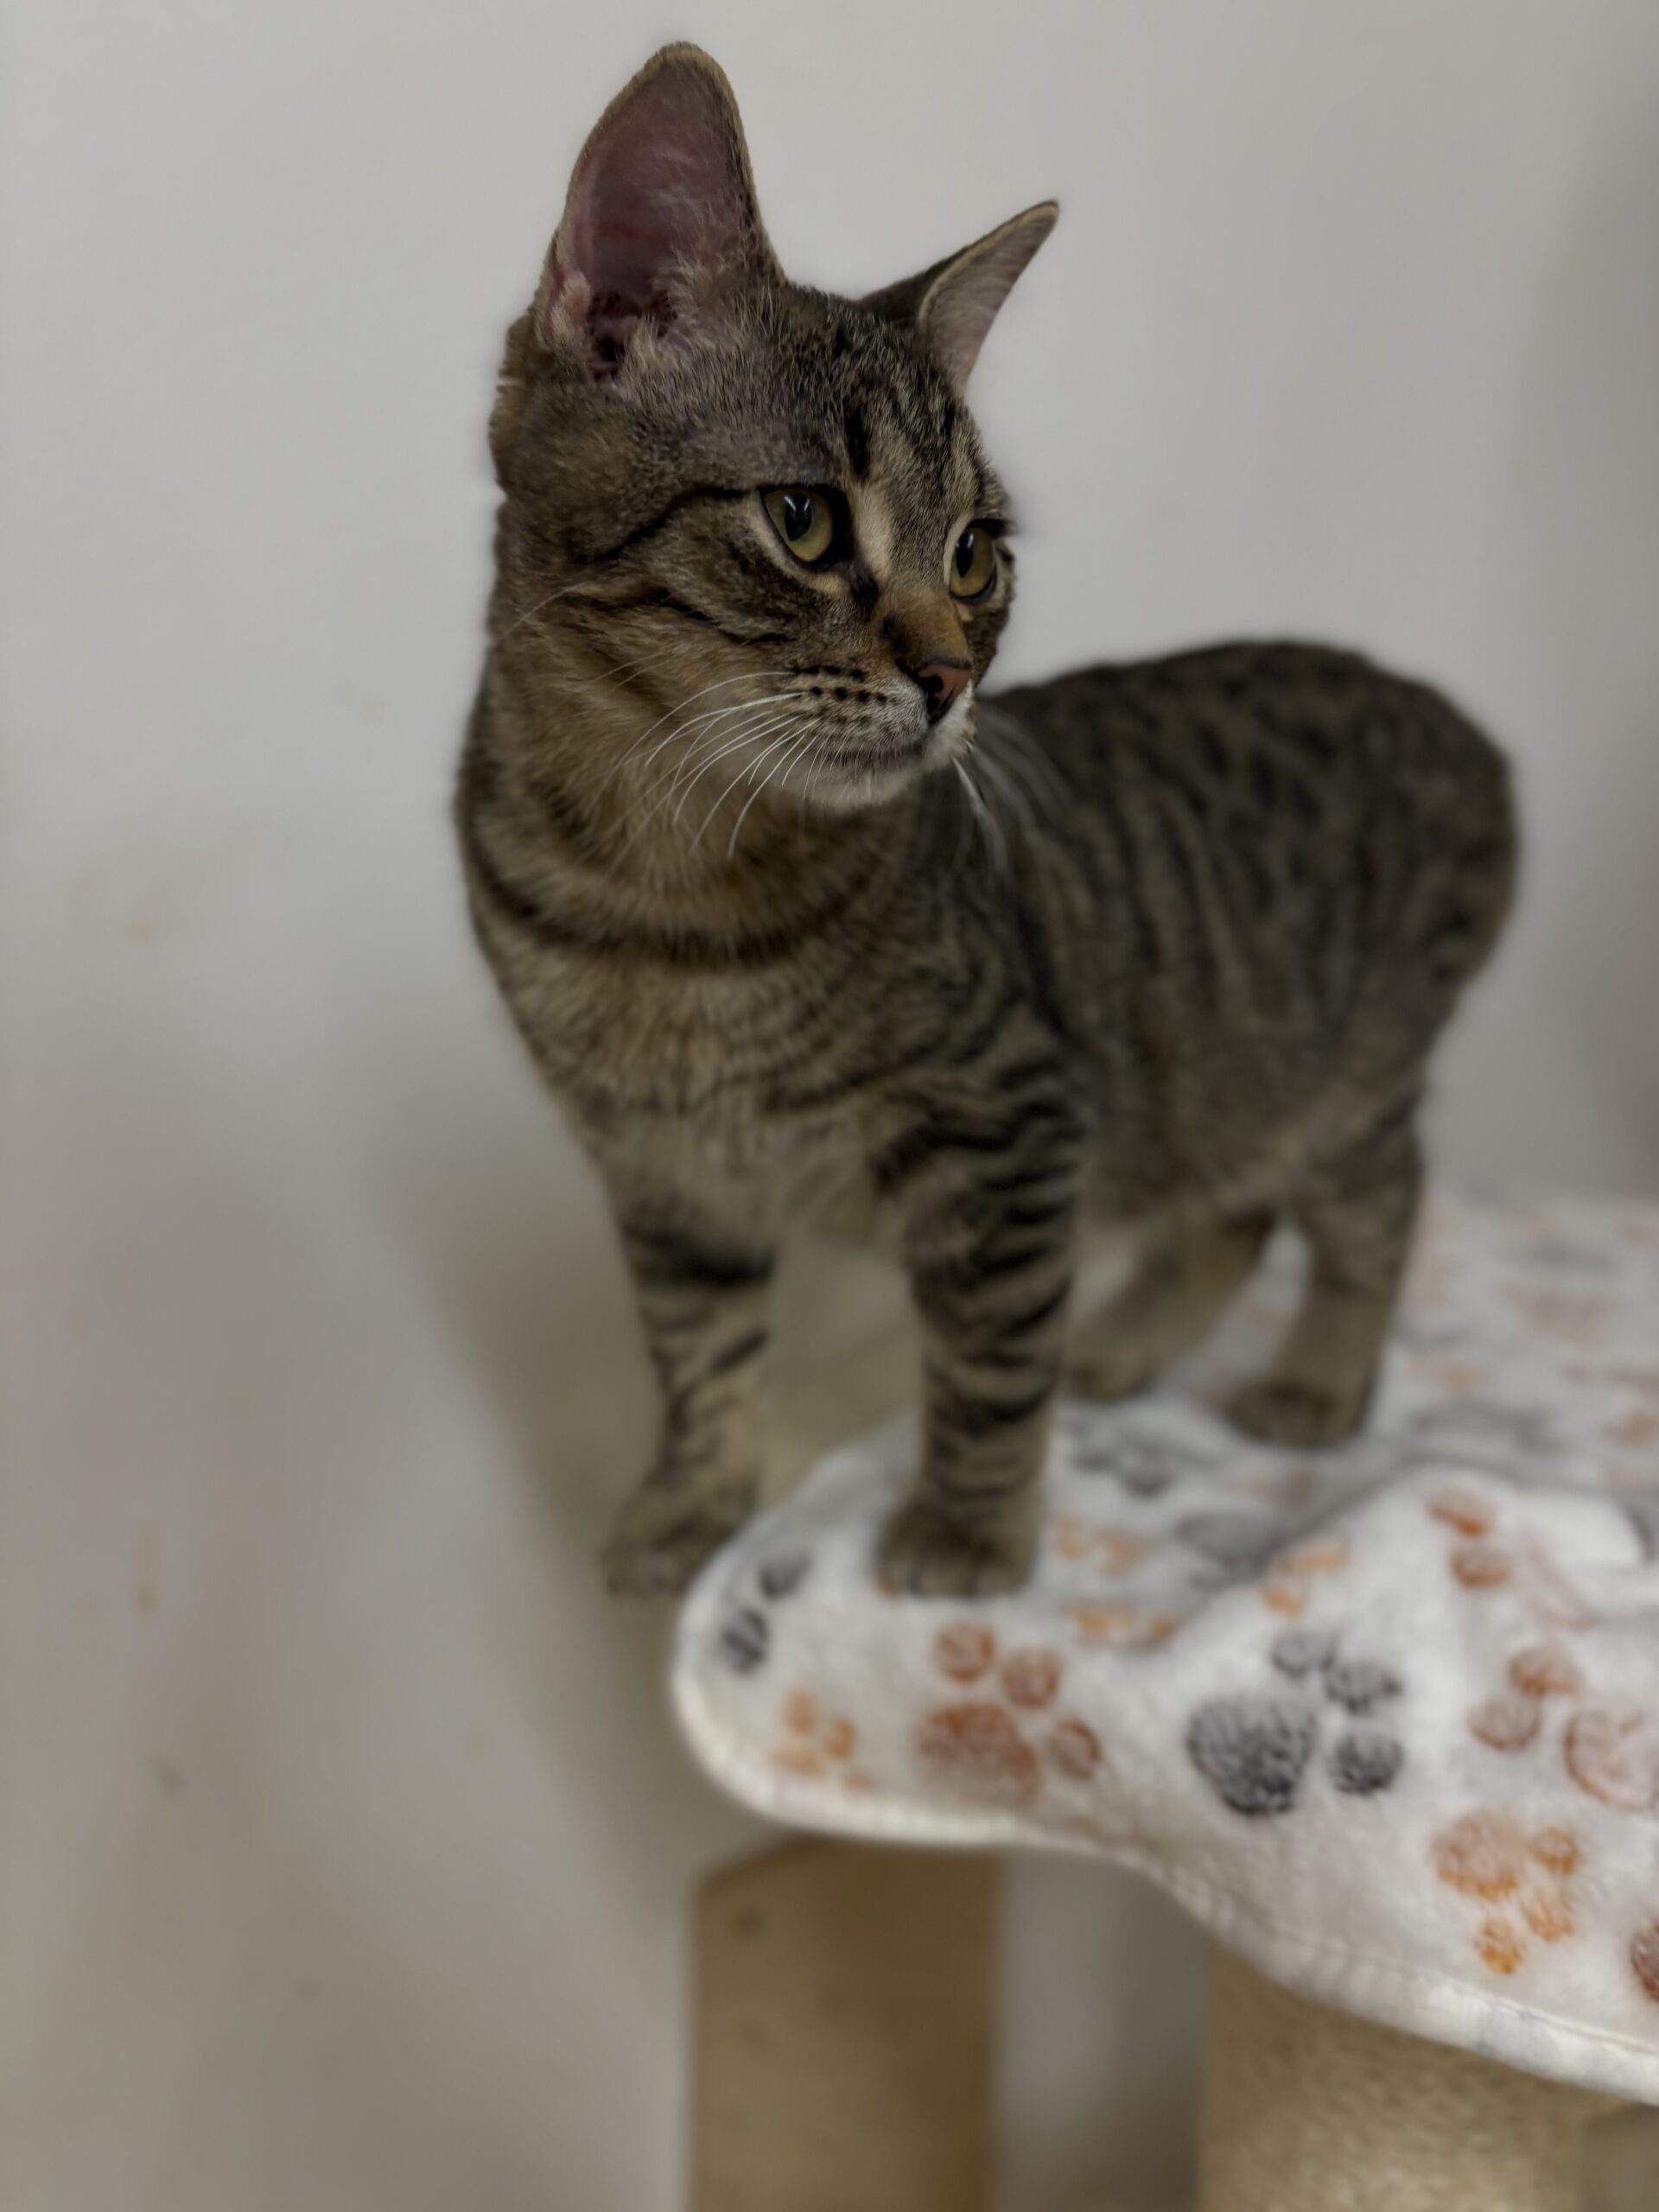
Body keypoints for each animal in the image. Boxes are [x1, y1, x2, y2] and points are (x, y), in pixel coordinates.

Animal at [457, 44, 1516, 1599]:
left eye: (975, 555)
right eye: (804, 520)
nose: (953, 676)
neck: (666, 891)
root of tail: (1462, 725)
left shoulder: (1014, 1129)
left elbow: (988, 1364)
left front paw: (965, 1531)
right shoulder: (667, 1184)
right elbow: (701, 1360)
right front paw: (692, 1506)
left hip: (1345, 1075)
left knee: (1377, 1202)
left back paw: (1317, 1378)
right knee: (1231, 1206)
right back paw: (1127, 1346)